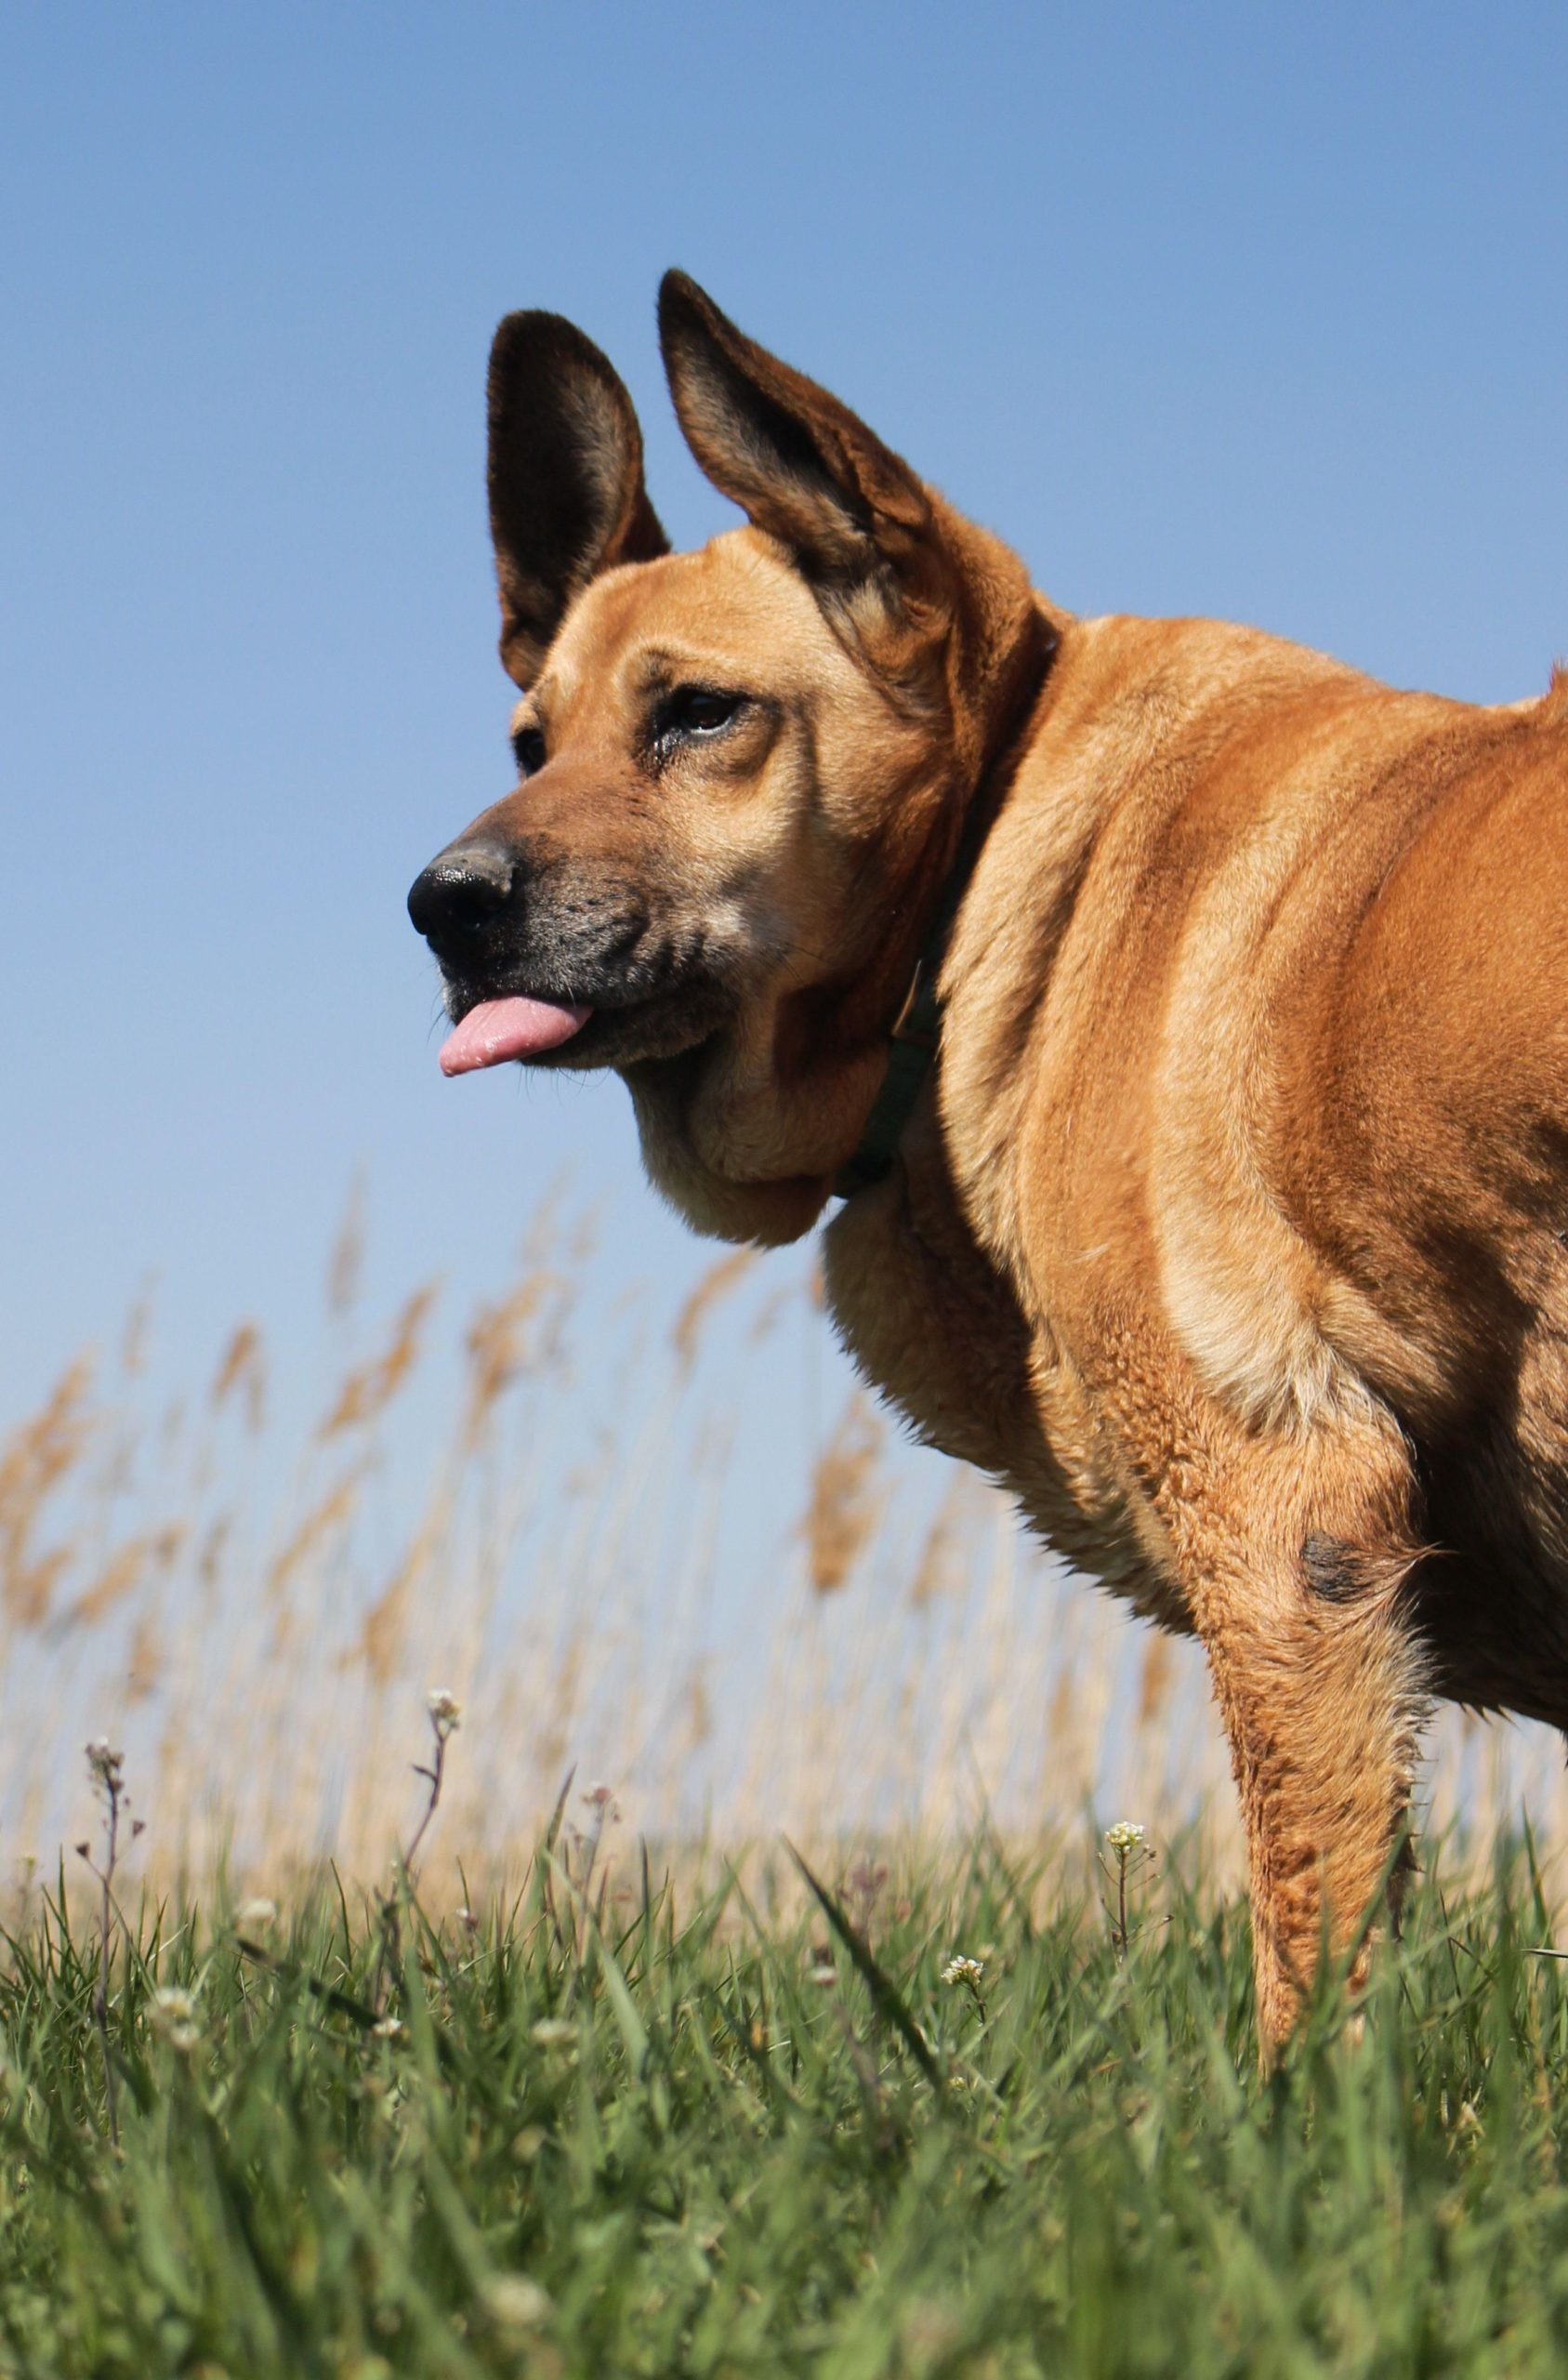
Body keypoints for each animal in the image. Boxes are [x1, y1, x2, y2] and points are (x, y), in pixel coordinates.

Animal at [411, 265, 1568, 2046]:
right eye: (531, 742)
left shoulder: (1288, 1528)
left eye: (698, 715)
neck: (989, 871)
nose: (441, 909)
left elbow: (1311, 1980)